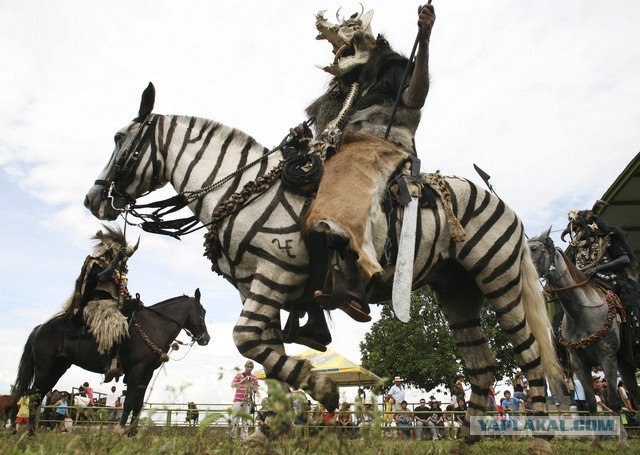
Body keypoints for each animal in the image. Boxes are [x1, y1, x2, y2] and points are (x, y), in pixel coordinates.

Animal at [13, 290, 210, 436]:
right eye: (202, 311)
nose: (205, 338)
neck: (154, 325)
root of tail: (40, 328)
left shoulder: (147, 373)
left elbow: (138, 404)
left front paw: (133, 433)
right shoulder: (136, 370)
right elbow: (129, 402)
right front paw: (121, 430)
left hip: (57, 368)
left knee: (38, 397)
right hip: (44, 368)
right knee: (34, 397)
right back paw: (30, 434)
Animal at [86, 83, 560, 448]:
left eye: (119, 139)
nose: (94, 199)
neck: (247, 189)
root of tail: (502, 205)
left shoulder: (276, 273)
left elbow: (249, 340)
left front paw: (321, 390)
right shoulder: (257, 288)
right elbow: (267, 353)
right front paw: (270, 428)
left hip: (499, 280)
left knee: (529, 353)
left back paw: (539, 436)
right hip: (458, 292)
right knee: (481, 362)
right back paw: (470, 437)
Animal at [528, 228, 636, 448]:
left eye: (534, 248)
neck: (583, 313)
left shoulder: (607, 357)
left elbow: (613, 401)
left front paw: (622, 442)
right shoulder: (579, 363)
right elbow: (592, 403)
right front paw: (596, 443)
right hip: (626, 363)